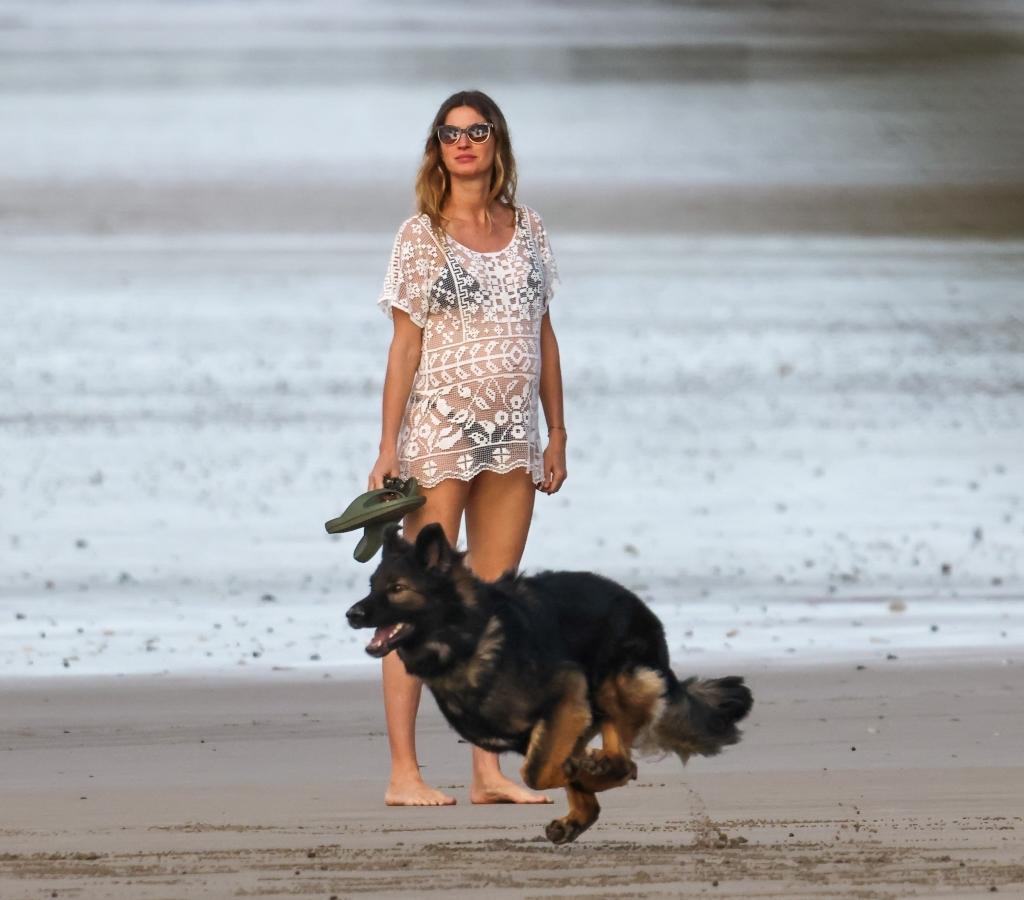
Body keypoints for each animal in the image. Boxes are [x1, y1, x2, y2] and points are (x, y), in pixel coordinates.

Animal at [344, 520, 753, 843]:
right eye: (371, 585)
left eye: (397, 588)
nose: (352, 614)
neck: (470, 638)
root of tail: (641, 609)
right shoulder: (548, 728)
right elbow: (549, 769)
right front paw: (582, 791)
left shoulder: (565, 696)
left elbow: (538, 773)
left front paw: (582, 774)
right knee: (618, 758)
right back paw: (585, 798)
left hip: (615, 682)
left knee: (623, 760)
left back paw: (598, 771)